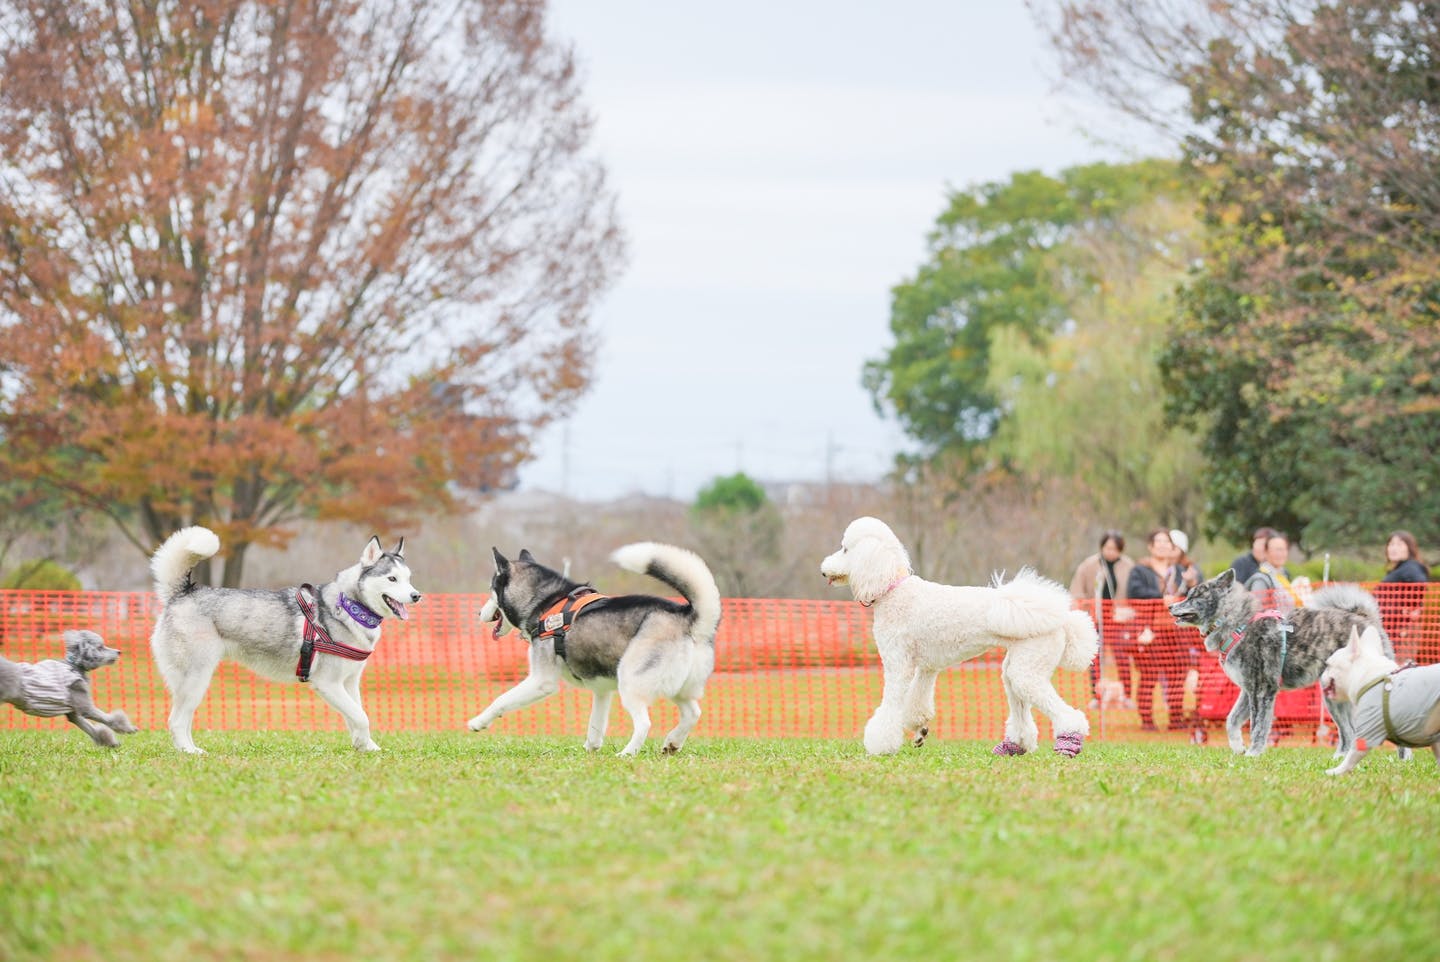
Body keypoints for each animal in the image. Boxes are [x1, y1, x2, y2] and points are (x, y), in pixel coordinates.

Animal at [0, 630, 136, 748]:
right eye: (101, 647)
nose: (119, 652)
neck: (73, 666)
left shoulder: (73, 712)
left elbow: (90, 728)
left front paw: (110, 743)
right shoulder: (84, 704)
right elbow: (109, 719)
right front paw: (129, 728)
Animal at [1169, 567, 1393, 754]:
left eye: (1195, 596)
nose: (1170, 606)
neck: (1238, 625)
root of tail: (1367, 620)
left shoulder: (1262, 690)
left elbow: (1258, 727)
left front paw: (1252, 755)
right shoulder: (1248, 690)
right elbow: (1231, 720)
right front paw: (1238, 748)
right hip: (1334, 700)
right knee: (1349, 732)